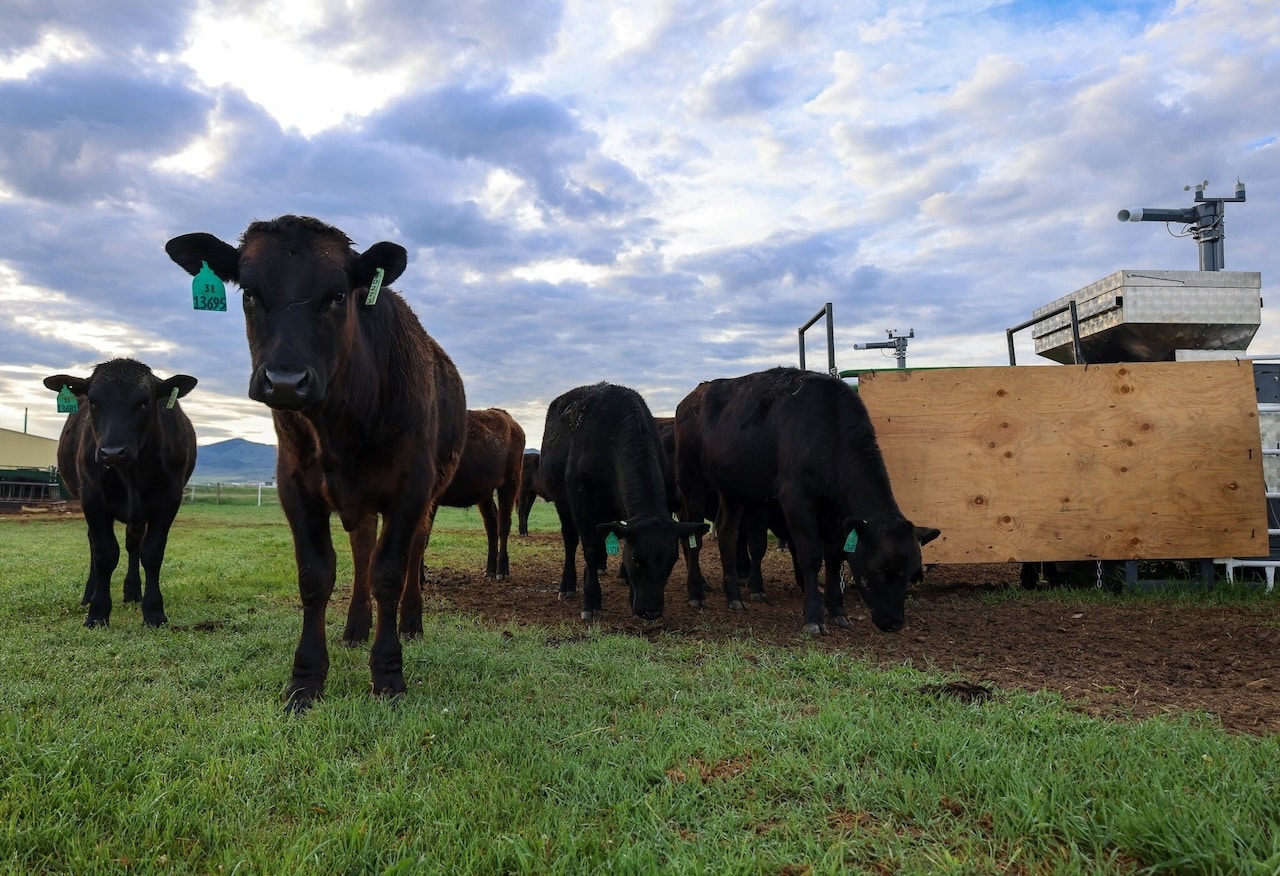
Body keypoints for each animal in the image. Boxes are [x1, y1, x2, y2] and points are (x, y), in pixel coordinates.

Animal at [43, 358, 197, 630]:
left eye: (145, 402)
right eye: (93, 402)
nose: (113, 452)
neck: (131, 473)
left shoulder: (169, 499)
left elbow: (152, 553)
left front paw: (154, 611)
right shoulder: (92, 497)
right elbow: (105, 553)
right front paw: (97, 612)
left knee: (133, 543)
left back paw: (133, 591)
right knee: (94, 543)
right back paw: (89, 594)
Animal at [165, 213, 465, 712]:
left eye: (338, 294)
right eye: (248, 292)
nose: (286, 380)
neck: (342, 425)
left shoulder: (412, 486)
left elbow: (389, 572)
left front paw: (388, 674)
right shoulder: (295, 486)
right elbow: (316, 576)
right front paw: (305, 680)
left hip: (431, 493)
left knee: (412, 551)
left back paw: (410, 622)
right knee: (362, 548)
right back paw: (356, 626)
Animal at [535, 384, 706, 622]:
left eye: (672, 560)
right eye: (636, 559)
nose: (651, 611)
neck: (611, 438)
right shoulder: (580, 500)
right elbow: (590, 548)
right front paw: (591, 602)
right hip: (563, 503)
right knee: (571, 540)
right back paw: (567, 586)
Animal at [675, 366, 936, 632]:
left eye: (912, 573)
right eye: (878, 568)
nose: (894, 622)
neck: (827, 430)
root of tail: (694, 396)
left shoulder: (833, 510)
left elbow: (835, 554)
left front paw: (837, 611)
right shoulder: (795, 497)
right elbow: (810, 555)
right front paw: (813, 616)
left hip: (733, 490)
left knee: (727, 532)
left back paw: (734, 597)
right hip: (691, 479)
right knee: (694, 534)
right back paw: (696, 592)